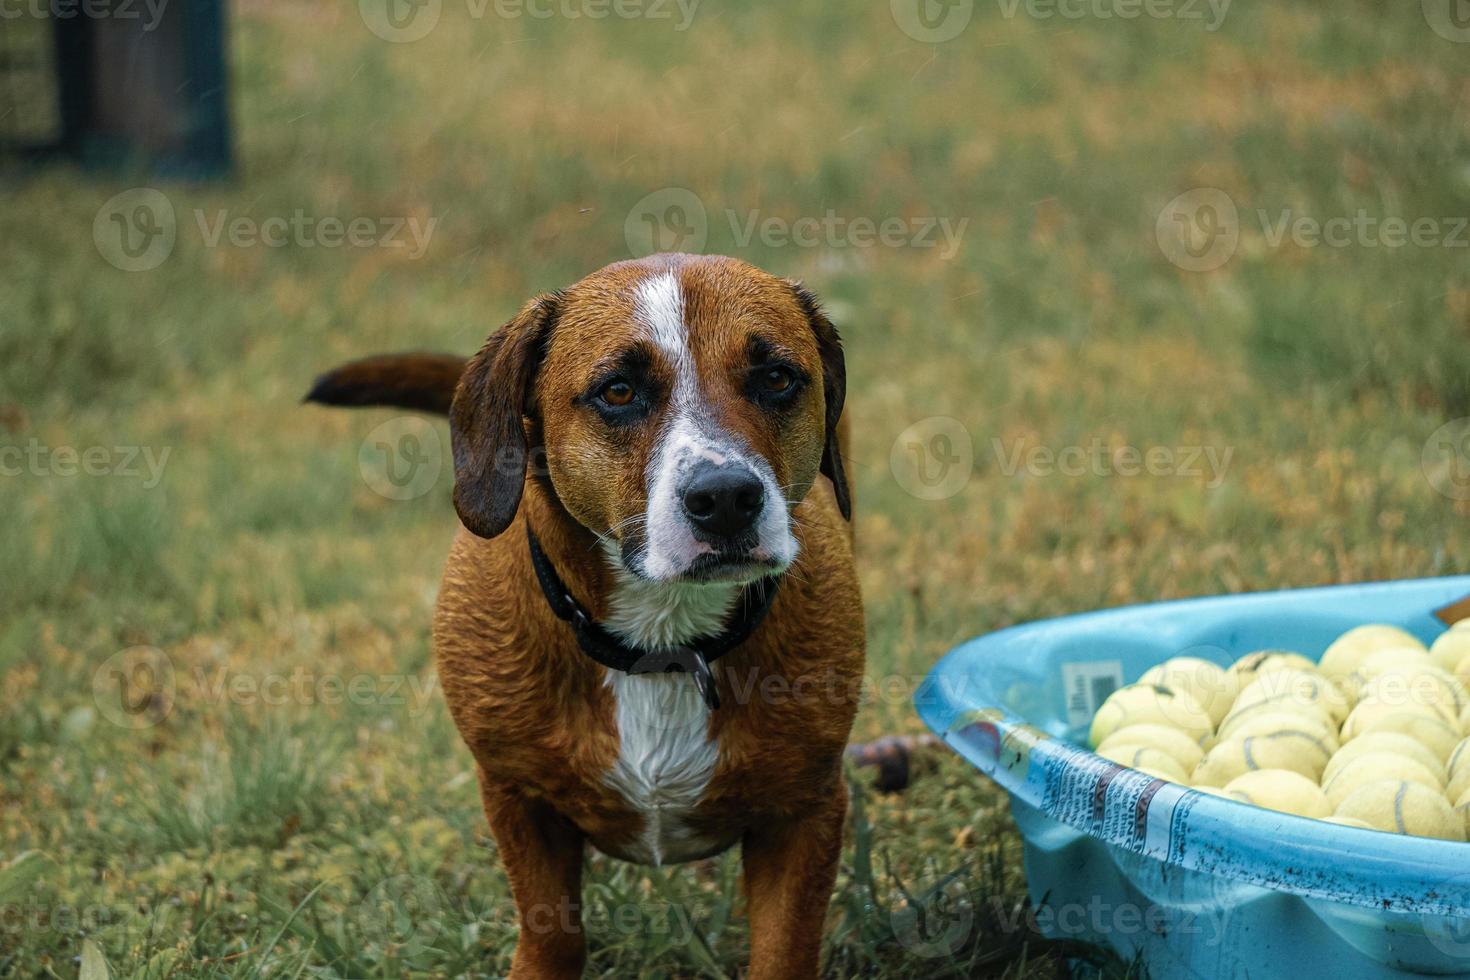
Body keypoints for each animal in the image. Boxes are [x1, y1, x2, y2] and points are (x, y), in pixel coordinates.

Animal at [307, 255, 858, 980]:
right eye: (618, 391)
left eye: (776, 379)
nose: (726, 498)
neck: (662, 645)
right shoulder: (518, 802)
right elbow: (553, 933)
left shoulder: (804, 810)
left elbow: (784, 948)